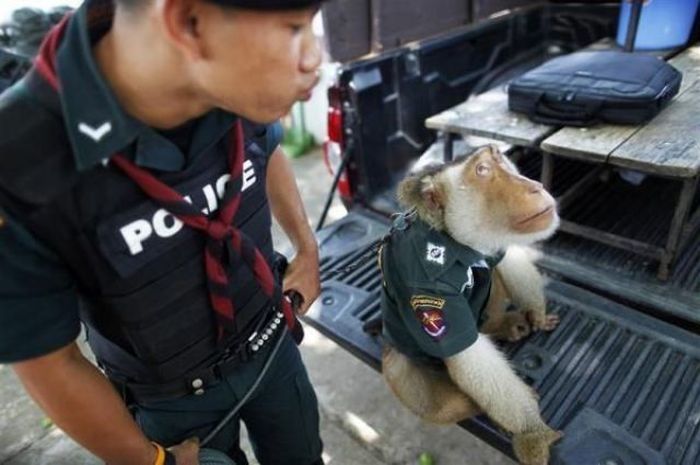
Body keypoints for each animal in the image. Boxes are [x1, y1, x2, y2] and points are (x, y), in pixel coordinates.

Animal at [378, 145, 564, 464]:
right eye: (483, 170)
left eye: (500, 159)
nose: (535, 186)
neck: (454, 240)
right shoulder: (426, 286)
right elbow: (469, 357)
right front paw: (532, 432)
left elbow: (509, 256)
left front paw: (536, 313)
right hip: (399, 365)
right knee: (444, 404)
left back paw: (503, 325)